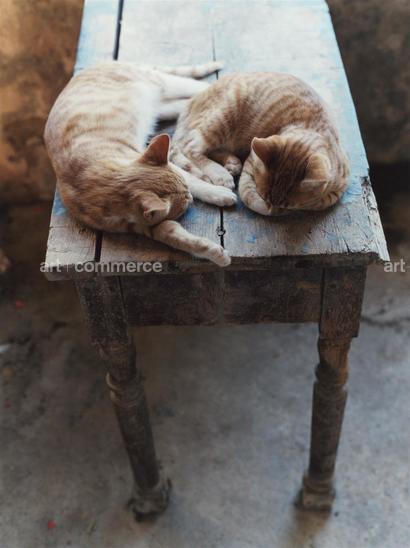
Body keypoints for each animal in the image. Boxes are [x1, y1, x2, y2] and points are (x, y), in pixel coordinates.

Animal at [44, 61, 237, 266]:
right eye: (184, 204)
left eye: (187, 196)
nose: (190, 198)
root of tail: (94, 66)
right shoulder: (148, 226)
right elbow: (181, 240)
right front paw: (215, 253)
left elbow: (194, 180)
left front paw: (218, 193)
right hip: (162, 107)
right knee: (185, 102)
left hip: (162, 82)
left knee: (196, 85)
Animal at [171, 72, 349, 216]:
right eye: (264, 197)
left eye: (287, 205)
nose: (275, 208)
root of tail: (195, 98)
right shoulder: (252, 160)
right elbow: (248, 195)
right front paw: (265, 207)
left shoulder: (339, 187)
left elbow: (322, 202)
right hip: (222, 119)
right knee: (190, 147)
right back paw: (219, 172)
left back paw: (231, 162)